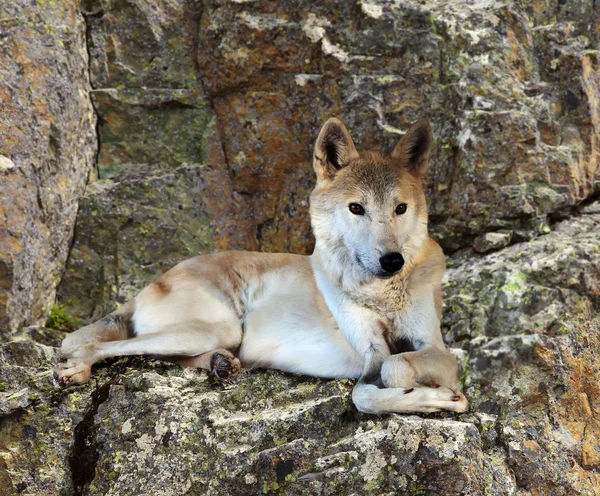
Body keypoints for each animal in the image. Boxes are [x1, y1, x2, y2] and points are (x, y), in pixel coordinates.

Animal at [55, 119, 468, 414]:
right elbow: (373, 385)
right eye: (356, 208)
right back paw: (78, 368)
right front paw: (435, 398)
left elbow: (392, 369)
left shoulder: (434, 346)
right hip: (212, 327)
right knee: (97, 345)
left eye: (400, 208)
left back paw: (221, 364)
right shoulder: (372, 352)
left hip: (215, 335)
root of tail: (153, 282)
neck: (380, 293)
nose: (392, 260)